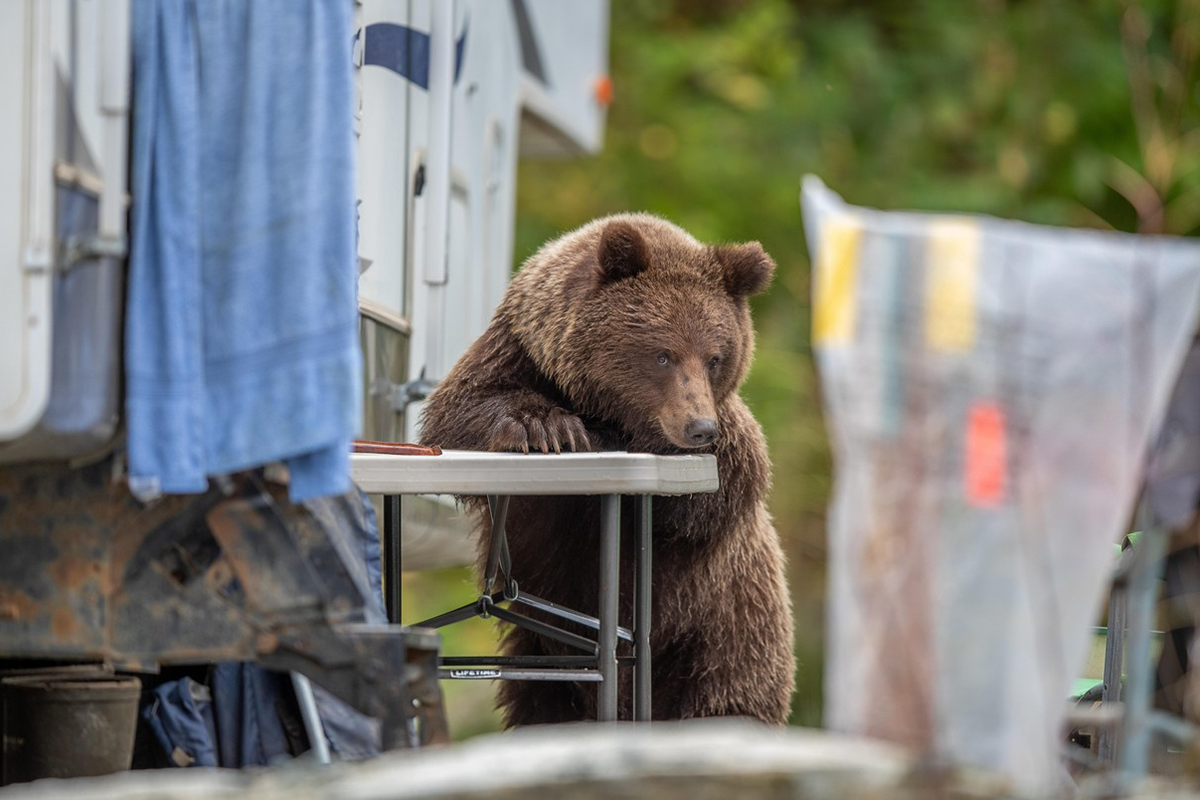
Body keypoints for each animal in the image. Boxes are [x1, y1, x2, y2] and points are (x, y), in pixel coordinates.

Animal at [417, 212, 792, 724]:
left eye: (715, 357)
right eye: (663, 354)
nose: (699, 428)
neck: (596, 401)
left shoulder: (729, 448)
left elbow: (721, 490)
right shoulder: (517, 354)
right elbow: (458, 410)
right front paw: (546, 427)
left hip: (724, 637)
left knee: (724, 702)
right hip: (542, 653)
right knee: (542, 706)